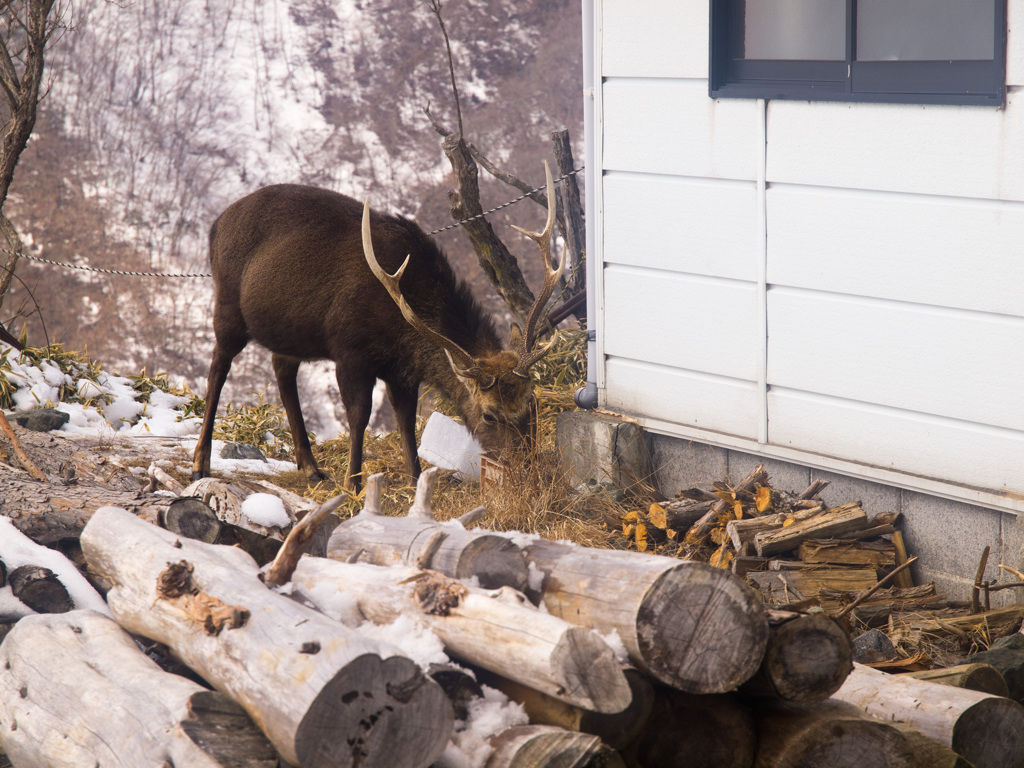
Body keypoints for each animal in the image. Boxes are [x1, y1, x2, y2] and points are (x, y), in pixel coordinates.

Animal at [188, 162, 565, 493]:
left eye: (531, 402)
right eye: (489, 415)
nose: (525, 466)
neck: (402, 331)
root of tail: (215, 224)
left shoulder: (402, 372)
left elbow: (407, 422)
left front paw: (415, 480)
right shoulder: (350, 352)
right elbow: (359, 416)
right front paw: (353, 484)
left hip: (289, 332)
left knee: (282, 370)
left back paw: (311, 468)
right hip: (228, 305)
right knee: (218, 368)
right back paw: (200, 463)